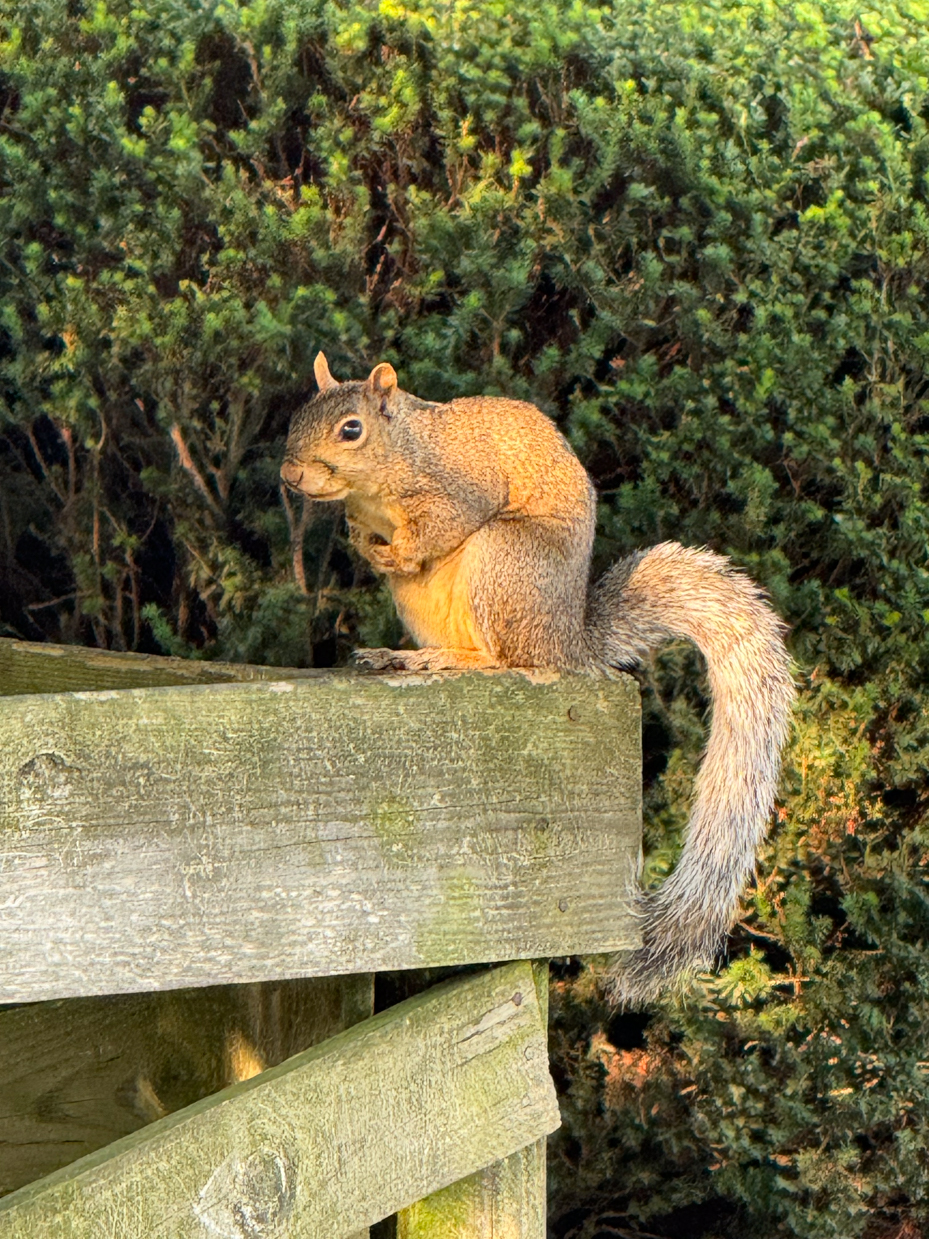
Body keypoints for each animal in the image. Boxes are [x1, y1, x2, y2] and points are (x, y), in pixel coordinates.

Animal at [279, 351, 797, 1006]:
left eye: (352, 429)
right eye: (299, 413)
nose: (291, 473)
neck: (394, 464)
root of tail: (565, 639)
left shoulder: (461, 488)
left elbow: (441, 523)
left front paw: (394, 550)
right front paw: (366, 547)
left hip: (505, 559)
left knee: (507, 659)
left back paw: (449, 658)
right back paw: (408, 657)